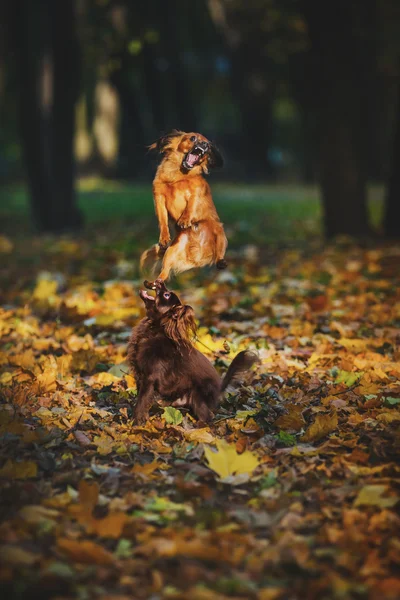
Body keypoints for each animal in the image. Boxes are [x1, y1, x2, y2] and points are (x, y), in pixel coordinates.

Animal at [129, 280, 260, 422]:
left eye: (166, 295)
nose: (160, 281)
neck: (154, 329)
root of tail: (219, 389)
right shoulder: (139, 374)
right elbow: (141, 399)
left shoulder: (149, 377)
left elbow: (141, 401)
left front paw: (136, 421)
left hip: (197, 395)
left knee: (208, 417)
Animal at [141, 130, 228, 284]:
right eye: (193, 138)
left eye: (208, 146)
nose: (204, 145)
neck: (178, 176)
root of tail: (197, 255)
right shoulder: (159, 198)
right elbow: (163, 221)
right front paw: (164, 237)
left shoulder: (195, 192)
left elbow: (191, 205)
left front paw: (185, 219)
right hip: (171, 251)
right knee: (164, 271)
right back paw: (157, 283)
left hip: (220, 233)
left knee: (219, 254)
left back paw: (221, 261)